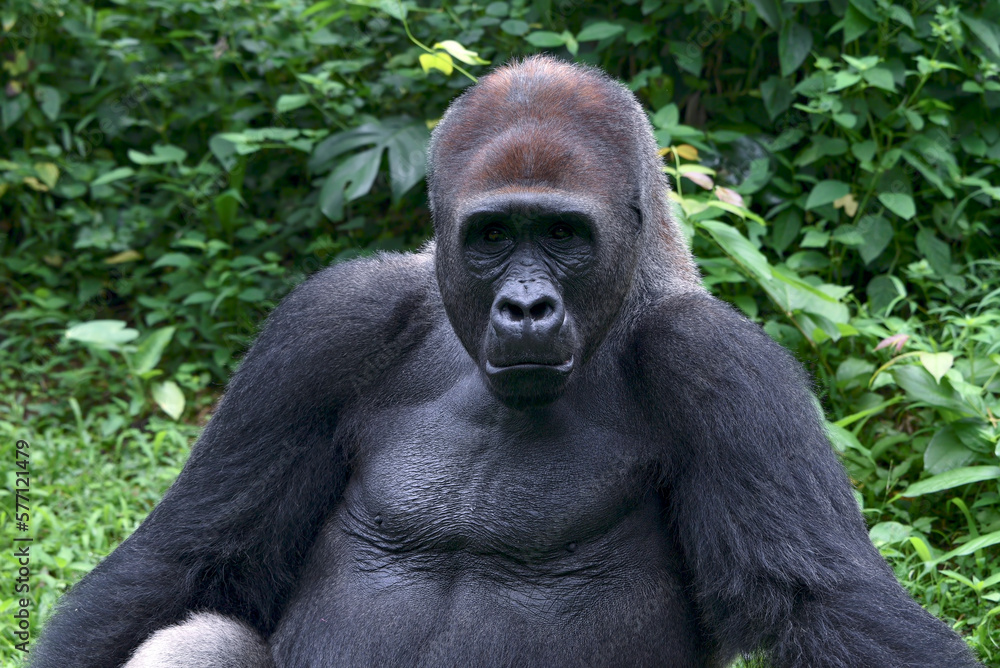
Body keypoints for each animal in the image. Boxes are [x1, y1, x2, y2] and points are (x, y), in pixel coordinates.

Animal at [29, 57, 976, 668]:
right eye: (491, 236)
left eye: (561, 233)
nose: (525, 308)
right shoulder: (326, 326)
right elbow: (190, 556)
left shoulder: (724, 367)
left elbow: (825, 603)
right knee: (201, 632)